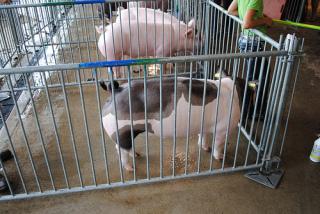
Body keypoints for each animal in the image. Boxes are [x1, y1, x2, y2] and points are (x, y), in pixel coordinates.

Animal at [101, 77, 244, 171]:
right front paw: (221, 158)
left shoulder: (204, 126)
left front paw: (205, 148)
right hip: (122, 130)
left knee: (124, 147)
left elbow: (203, 136)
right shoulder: (223, 129)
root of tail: (116, 90)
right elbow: (218, 145)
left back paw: (137, 155)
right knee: (121, 150)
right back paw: (131, 168)